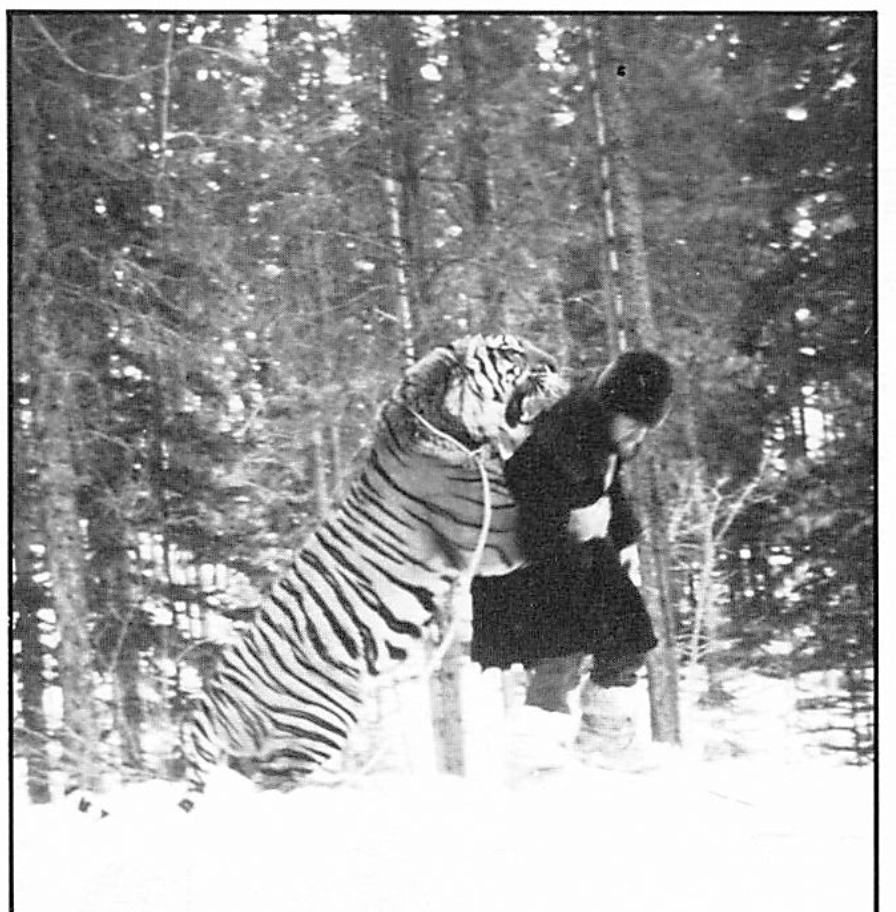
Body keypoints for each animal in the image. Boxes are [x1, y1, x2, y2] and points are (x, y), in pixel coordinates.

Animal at [176, 333, 567, 808]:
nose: (553, 363)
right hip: (319, 723)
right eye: (511, 352)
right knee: (274, 790)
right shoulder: (501, 530)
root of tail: (210, 703)